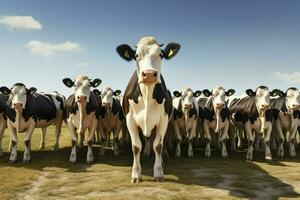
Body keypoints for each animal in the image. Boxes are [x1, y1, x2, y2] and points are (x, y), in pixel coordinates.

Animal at [116, 36, 179, 183]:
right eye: (136, 55)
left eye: (161, 55)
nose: (149, 74)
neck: (147, 94)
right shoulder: (130, 119)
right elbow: (136, 146)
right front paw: (136, 174)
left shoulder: (163, 119)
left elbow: (158, 146)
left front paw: (159, 173)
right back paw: (146, 152)